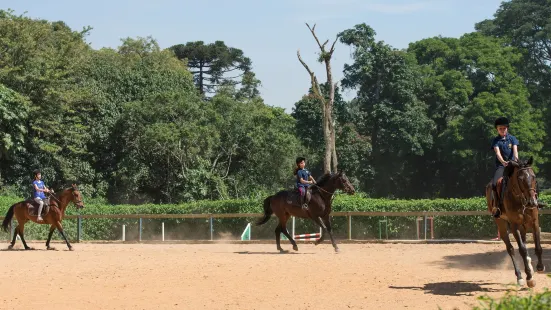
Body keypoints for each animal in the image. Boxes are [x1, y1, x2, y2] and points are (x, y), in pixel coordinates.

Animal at [486, 157, 544, 288]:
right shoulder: (514, 226)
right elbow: (522, 250)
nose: (532, 202)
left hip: (523, 226)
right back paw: (520, 276)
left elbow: (538, 246)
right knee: (511, 249)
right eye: (520, 179)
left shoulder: (534, 222)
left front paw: (540, 267)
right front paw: (529, 278)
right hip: (501, 225)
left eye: (533, 176)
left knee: (524, 243)